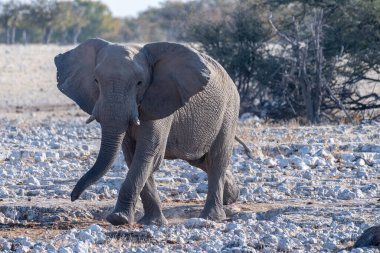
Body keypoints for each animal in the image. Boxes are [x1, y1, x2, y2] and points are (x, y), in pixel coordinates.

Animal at [53, 38, 243, 225]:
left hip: (229, 110)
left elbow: (147, 154)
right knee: (201, 160)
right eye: (96, 81)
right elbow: (133, 156)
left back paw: (211, 217)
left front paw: (118, 219)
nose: (73, 196)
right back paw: (231, 196)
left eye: (139, 83)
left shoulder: (159, 100)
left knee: (217, 158)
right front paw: (151, 222)